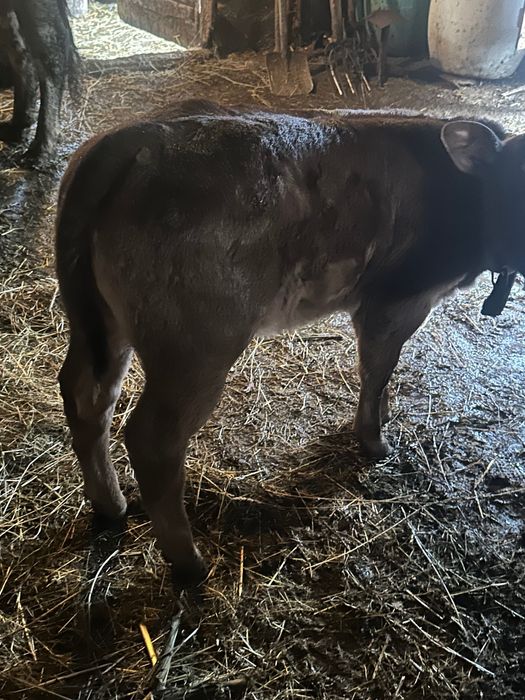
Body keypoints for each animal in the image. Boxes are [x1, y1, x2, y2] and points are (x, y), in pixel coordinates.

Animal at [55, 100, 525, 586]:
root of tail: (127, 140)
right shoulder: (396, 301)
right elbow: (378, 370)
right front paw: (374, 443)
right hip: (194, 348)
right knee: (152, 438)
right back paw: (189, 563)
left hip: (101, 324)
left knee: (85, 395)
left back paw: (111, 506)